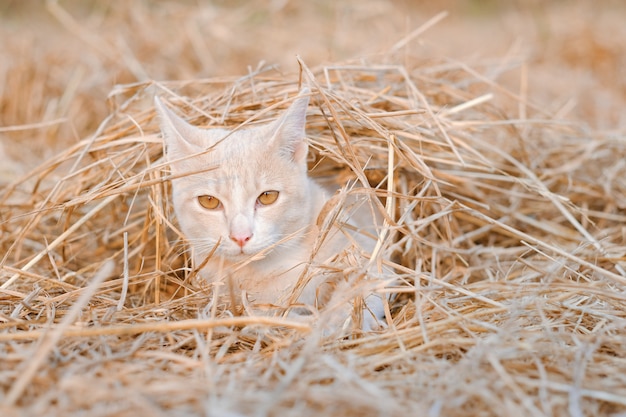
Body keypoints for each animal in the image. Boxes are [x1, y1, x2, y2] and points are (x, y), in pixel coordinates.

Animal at [155, 89, 386, 330]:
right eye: (208, 201)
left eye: (267, 197)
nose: (241, 236)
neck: (268, 269)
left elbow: (364, 288)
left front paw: (331, 321)